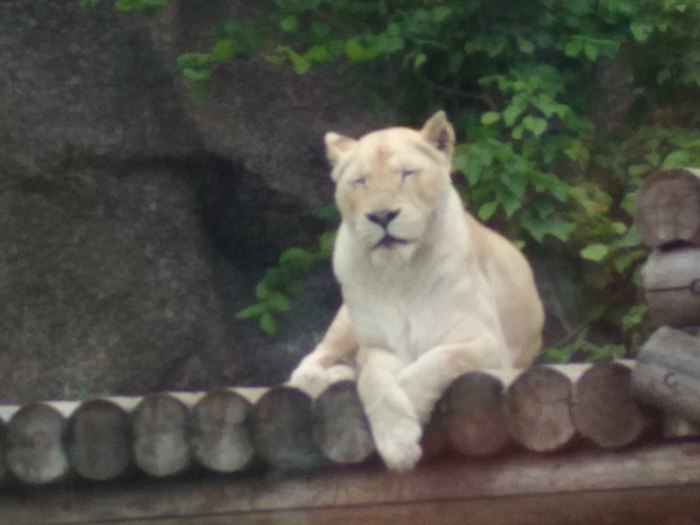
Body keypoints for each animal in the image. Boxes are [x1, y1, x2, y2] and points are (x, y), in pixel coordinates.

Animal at [288, 110, 544, 470]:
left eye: (407, 173)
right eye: (360, 181)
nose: (382, 215)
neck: (401, 273)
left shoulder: (487, 344)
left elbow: (435, 362)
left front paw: (405, 427)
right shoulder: (379, 348)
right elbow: (373, 380)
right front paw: (397, 440)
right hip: (344, 323)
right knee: (306, 368)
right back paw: (338, 374)